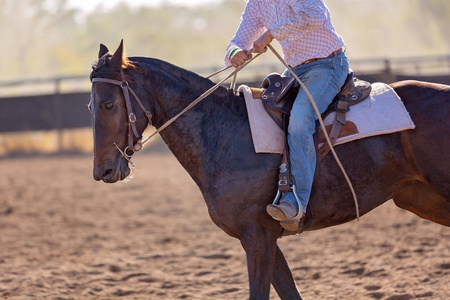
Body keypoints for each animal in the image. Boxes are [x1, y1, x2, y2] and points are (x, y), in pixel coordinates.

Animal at [89, 40, 450, 300]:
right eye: (91, 105)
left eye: (109, 104)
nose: (102, 171)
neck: (224, 130)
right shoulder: (265, 239)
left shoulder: (257, 236)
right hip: (421, 199)